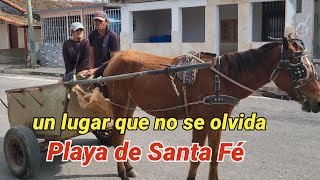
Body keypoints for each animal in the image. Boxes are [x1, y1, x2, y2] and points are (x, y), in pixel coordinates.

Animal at [102, 37, 320, 180]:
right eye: (299, 67)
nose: (318, 100)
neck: (221, 79)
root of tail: (113, 59)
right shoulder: (201, 122)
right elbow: (196, 158)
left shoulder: (218, 121)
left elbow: (214, 156)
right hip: (120, 103)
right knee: (117, 136)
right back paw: (122, 172)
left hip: (130, 105)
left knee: (121, 135)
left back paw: (128, 167)